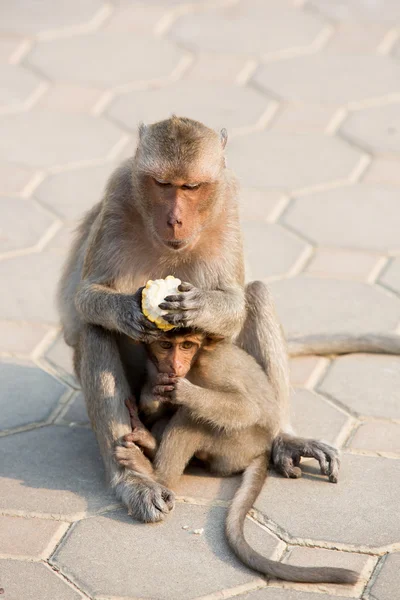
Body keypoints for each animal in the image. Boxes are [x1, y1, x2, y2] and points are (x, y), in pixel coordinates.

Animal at [57, 116, 400, 520]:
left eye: (191, 187)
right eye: (162, 184)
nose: (175, 219)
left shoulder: (228, 201)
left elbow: (235, 305)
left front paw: (200, 306)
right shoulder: (117, 195)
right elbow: (84, 298)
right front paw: (127, 310)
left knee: (257, 296)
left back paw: (283, 437)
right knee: (95, 332)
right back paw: (135, 478)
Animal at [115, 328, 356, 584]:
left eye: (187, 346)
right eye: (165, 345)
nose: (175, 364)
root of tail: (262, 448)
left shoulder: (213, 366)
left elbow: (246, 408)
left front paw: (185, 392)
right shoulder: (154, 366)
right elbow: (155, 406)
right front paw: (151, 395)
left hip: (238, 445)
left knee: (192, 417)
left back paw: (157, 474)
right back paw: (148, 442)